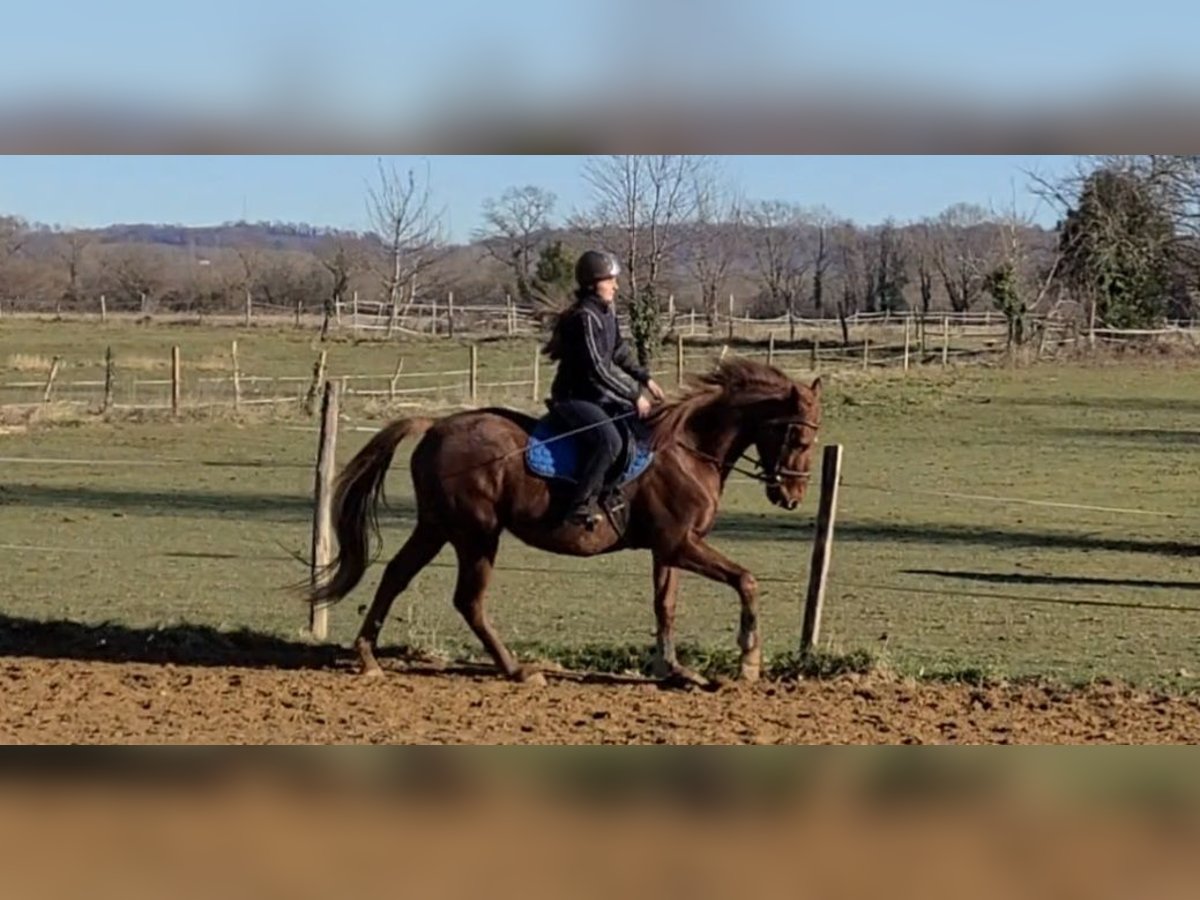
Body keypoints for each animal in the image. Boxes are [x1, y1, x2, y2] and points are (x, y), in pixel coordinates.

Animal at [307, 355, 825, 686]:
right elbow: (747, 580)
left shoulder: (670, 548)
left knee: (396, 576)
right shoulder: (681, 544)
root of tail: (435, 425)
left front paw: (675, 670)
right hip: (476, 533)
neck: (688, 447)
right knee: (468, 600)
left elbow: (666, 605)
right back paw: (517, 670)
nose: (792, 496)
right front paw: (749, 662)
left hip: (437, 527)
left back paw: (369, 657)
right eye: (799, 437)